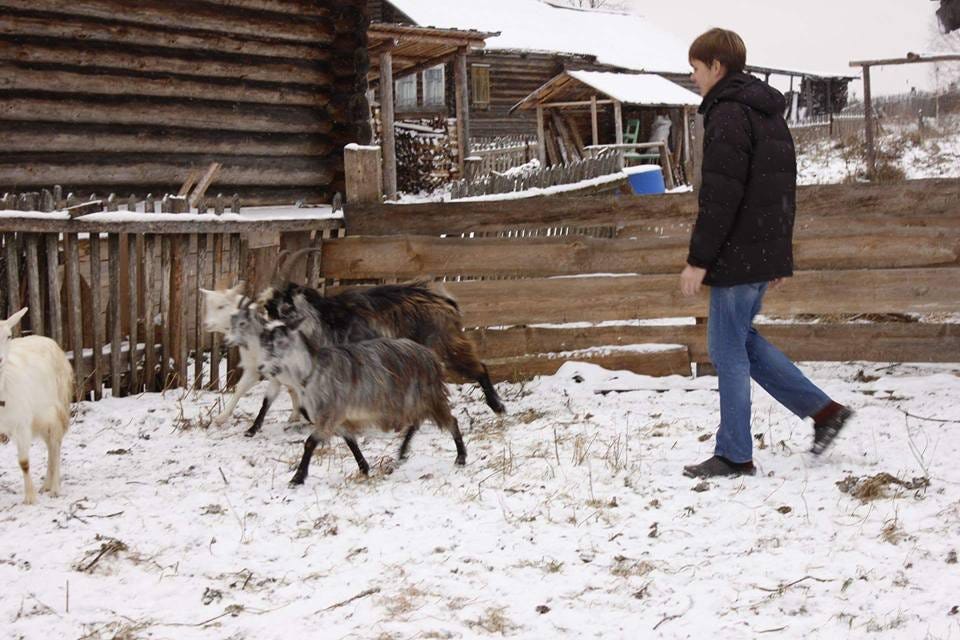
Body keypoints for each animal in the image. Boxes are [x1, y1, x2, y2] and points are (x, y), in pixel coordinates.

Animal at [0, 307, 72, 504]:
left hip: (57, 408)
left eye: (9, 336)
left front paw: (30, 498)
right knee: (49, 445)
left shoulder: (22, 423)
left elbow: (24, 462)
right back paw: (46, 484)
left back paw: (54, 488)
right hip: (40, 419)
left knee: (56, 444)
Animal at [255, 315, 466, 484]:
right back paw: (402, 452)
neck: (313, 371)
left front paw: (297, 478)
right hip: (413, 401)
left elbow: (309, 443)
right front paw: (364, 468)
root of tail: (430, 356)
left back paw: (460, 458)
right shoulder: (341, 418)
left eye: (281, 341)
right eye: (264, 341)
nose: (261, 367)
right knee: (416, 422)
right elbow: (351, 443)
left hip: (428, 396)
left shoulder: (330, 414)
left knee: (450, 421)